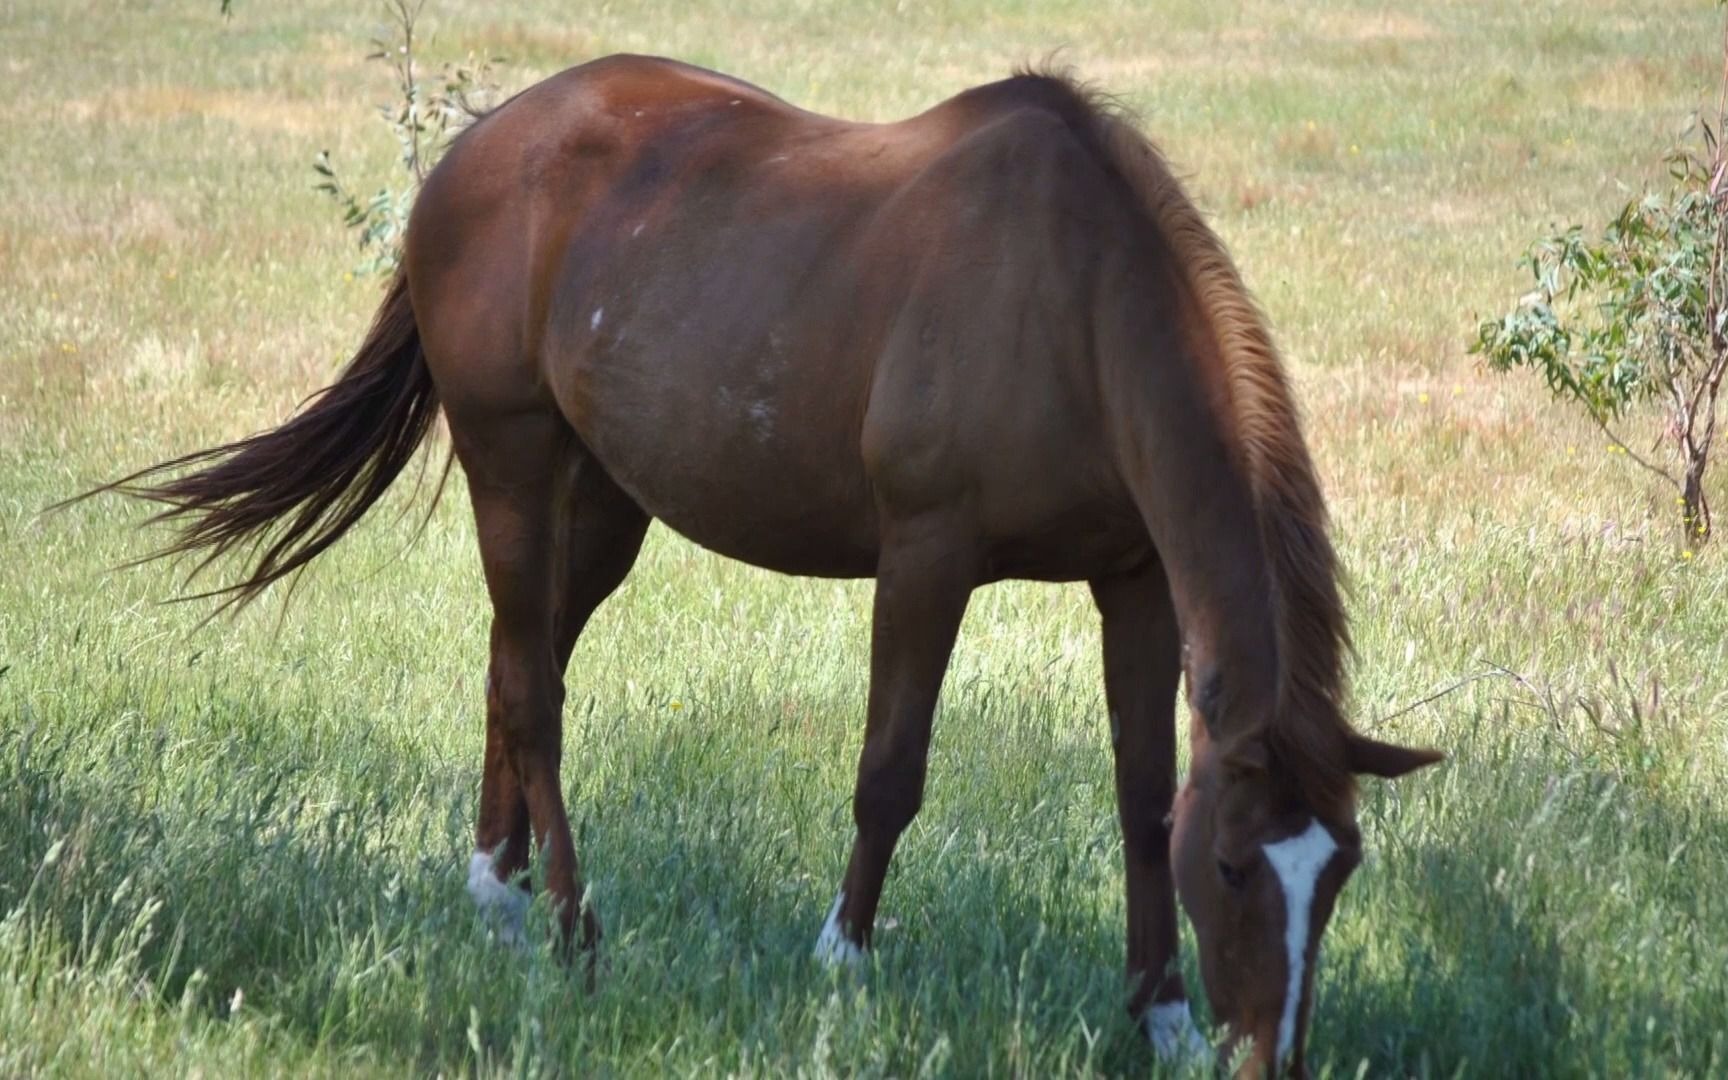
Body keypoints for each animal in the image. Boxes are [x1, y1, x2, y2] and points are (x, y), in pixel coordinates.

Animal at [79, 56, 1441, 1076]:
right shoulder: (927, 554)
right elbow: (891, 773)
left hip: (603, 503)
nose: (1269, 1059)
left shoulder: (1138, 580)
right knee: (534, 692)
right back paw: (571, 930)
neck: (1072, 303)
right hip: (511, 461)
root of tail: (476, 148)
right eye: (1237, 867)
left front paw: (1155, 1016)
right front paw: (841, 965)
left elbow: (1141, 790)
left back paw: (497, 897)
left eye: (1339, 875)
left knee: (514, 669)